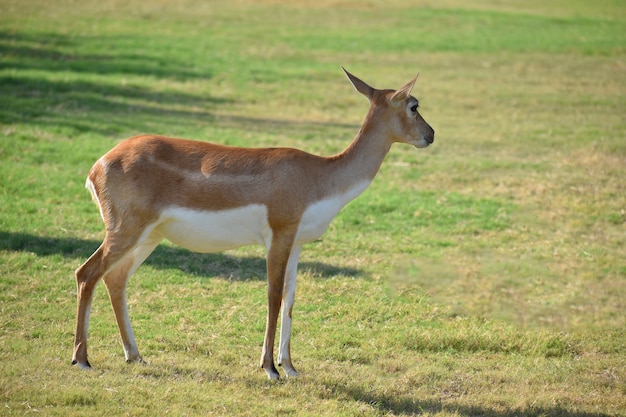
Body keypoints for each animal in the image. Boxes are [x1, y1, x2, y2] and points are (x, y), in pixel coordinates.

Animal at [70, 68, 434, 376]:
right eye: (414, 105)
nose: (431, 135)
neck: (319, 177)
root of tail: (98, 165)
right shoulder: (279, 235)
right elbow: (273, 296)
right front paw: (270, 368)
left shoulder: (297, 243)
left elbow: (290, 299)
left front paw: (290, 367)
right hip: (125, 230)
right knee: (87, 273)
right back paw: (82, 359)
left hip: (149, 236)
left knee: (115, 279)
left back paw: (135, 355)